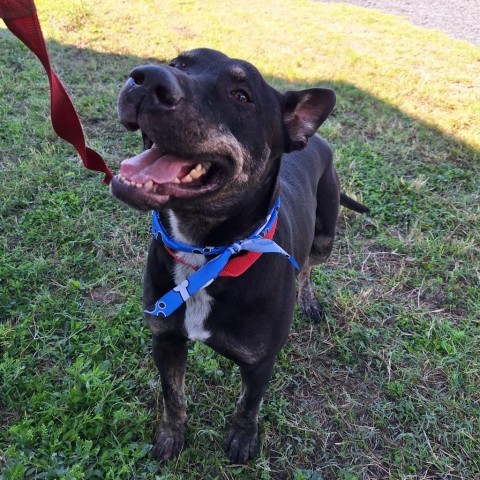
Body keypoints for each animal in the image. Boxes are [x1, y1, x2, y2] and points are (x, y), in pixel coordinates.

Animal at [111, 47, 368, 462]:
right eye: (177, 63)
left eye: (241, 96)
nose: (146, 79)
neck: (205, 254)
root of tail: (314, 139)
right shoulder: (166, 341)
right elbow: (173, 397)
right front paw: (171, 437)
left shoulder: (260, 362)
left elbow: (248, 405)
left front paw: (242, 440)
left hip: (325, 237)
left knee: (308, 268)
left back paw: (308, 300)